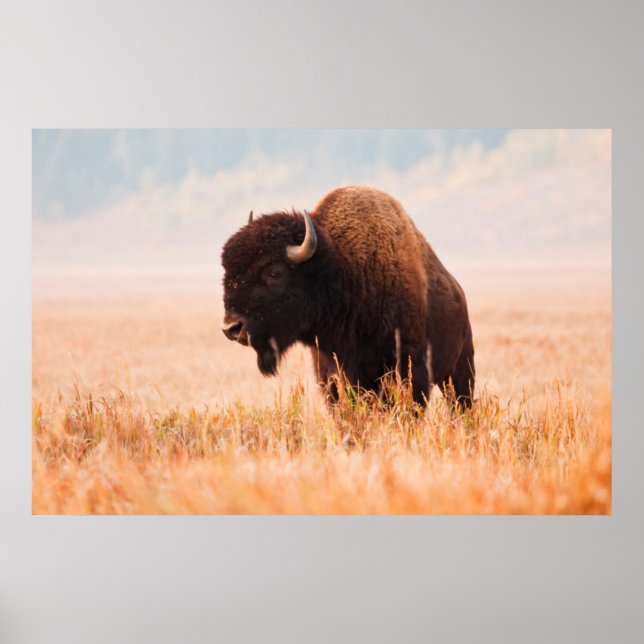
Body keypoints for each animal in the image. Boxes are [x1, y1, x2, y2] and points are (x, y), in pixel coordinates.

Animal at [221, 186, 475, 408]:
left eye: (274, 273)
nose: (231, 327)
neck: (344, 270)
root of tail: (458, 292)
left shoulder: (410, 367)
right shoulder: (331, 372)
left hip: (460, 370)